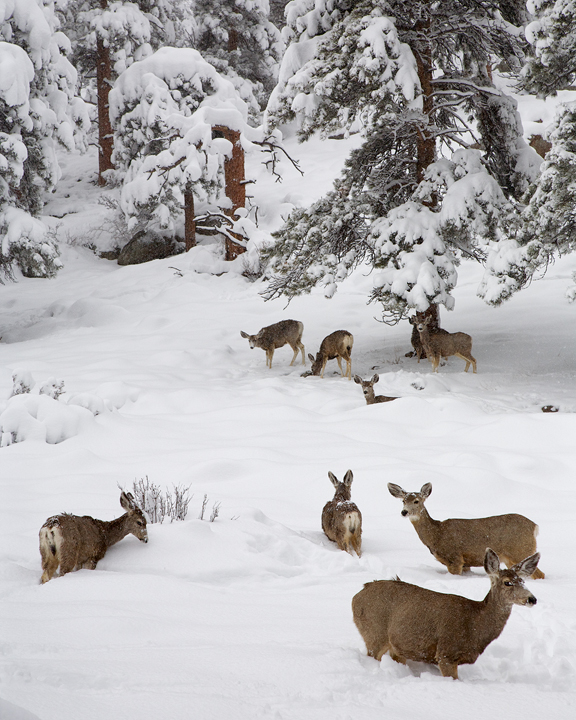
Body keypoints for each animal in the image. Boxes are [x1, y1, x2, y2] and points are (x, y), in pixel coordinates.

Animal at [352, 548, 540, 676]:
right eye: (507, 582)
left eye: (523, 581)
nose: (532, 599)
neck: (474, 625)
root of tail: (356, 596)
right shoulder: (446, 653)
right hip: (374, 633)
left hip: (397, 647)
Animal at [388, 484, 544, 580]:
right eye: (403, 501)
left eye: (416, 501)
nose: (404, 512)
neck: (437, 534)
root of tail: (534, 526)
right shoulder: (466, 564)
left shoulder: (455, 558)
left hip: (521, 550)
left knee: (540, 574)